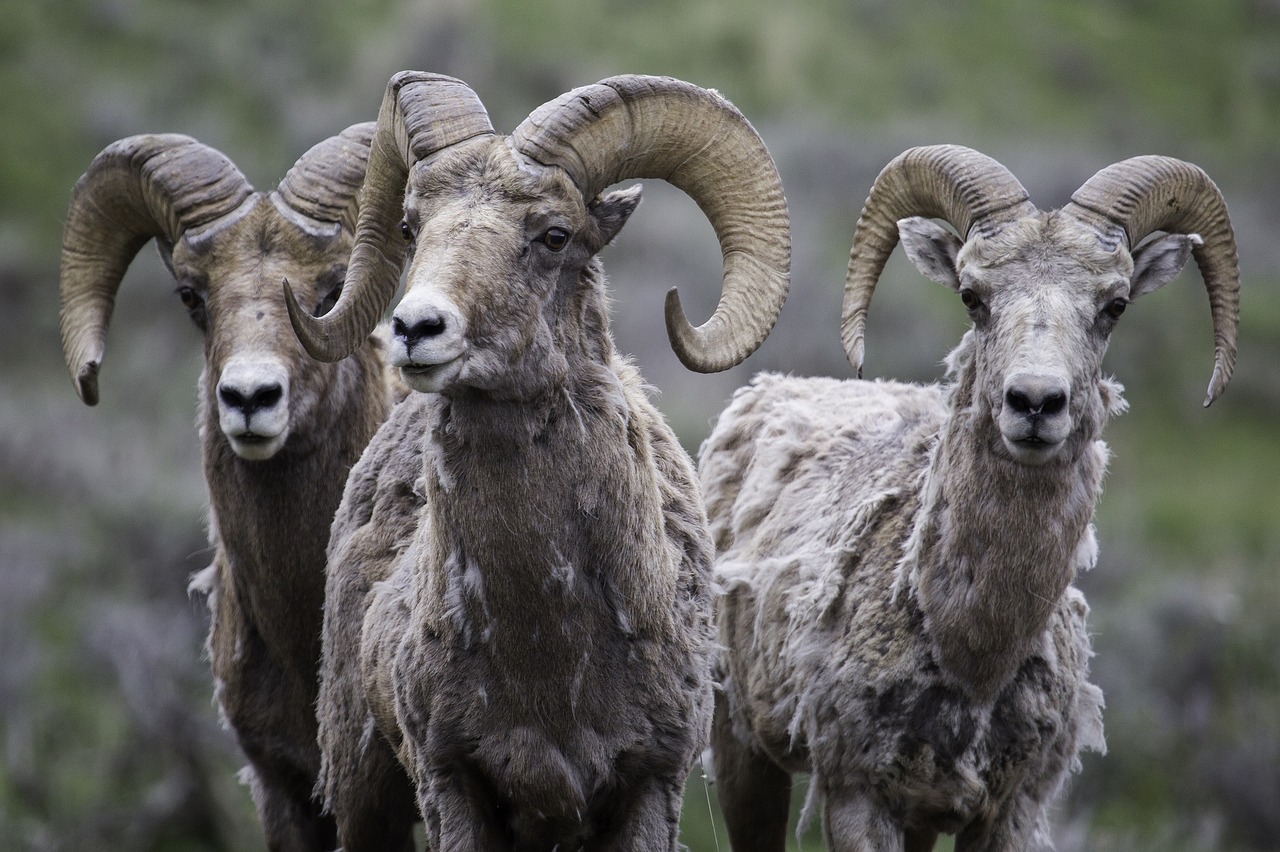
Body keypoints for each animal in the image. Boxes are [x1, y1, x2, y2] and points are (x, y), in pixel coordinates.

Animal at [280, 71, 791, 851]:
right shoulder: (453, 785)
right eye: (411, 226)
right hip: (364, 795)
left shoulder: (651, 787)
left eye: (554, 235)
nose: (415, 329)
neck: (549, 655)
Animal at [700, 145, 1240, 851]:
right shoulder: (857, 798)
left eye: (1115, 305)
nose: (1035, 402)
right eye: (971, 296)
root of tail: (762, 390)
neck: (971, 651)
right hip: (741, 748)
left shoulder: (1010, 810)